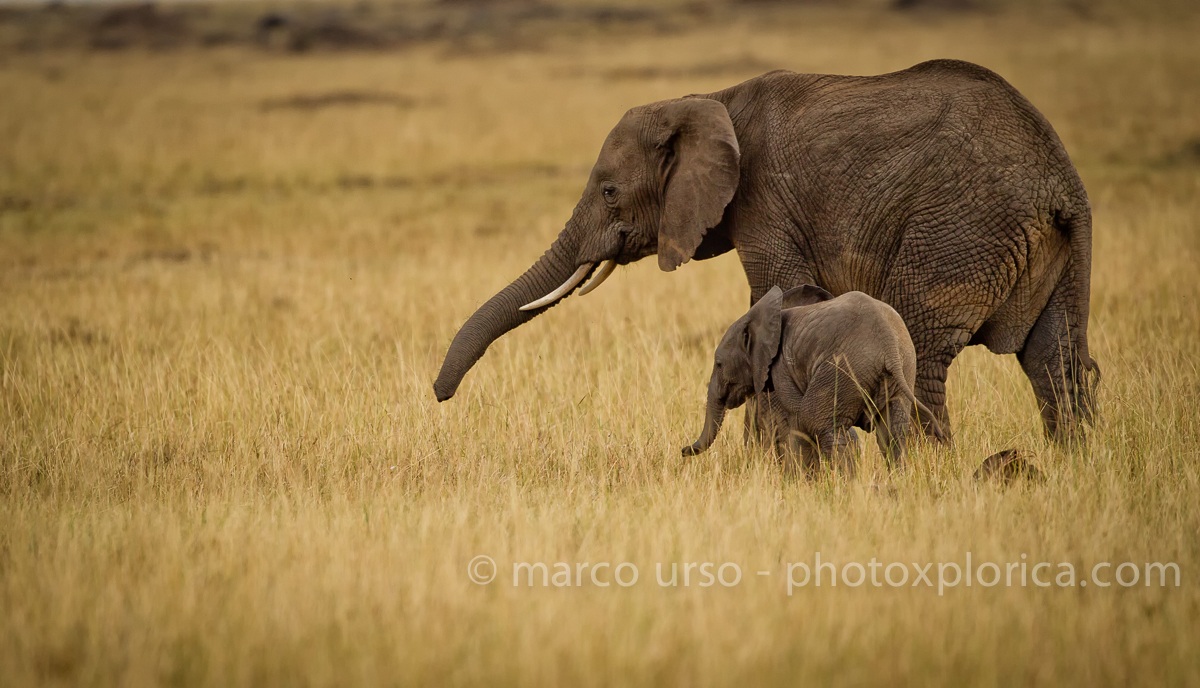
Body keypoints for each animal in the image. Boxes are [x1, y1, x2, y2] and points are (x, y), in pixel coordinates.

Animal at [433, 59, 1100, 442]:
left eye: (609, 191)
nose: (439, 397)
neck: (710, 99)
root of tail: (1058, 181)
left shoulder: (767, 201)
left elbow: (779, 296)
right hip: (1058, 248)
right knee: (1057, 358)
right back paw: (1073, 466)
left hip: (958, 231)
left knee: (925, 344)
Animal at [683, 285, 946, 474]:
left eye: (719, 364)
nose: (683, 450)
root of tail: (888, 343)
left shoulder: (780, 368)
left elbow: (798, 419)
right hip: (903, 368)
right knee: (892, 434)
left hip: (844, 368)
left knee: (815, 419)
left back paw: (846, 485)